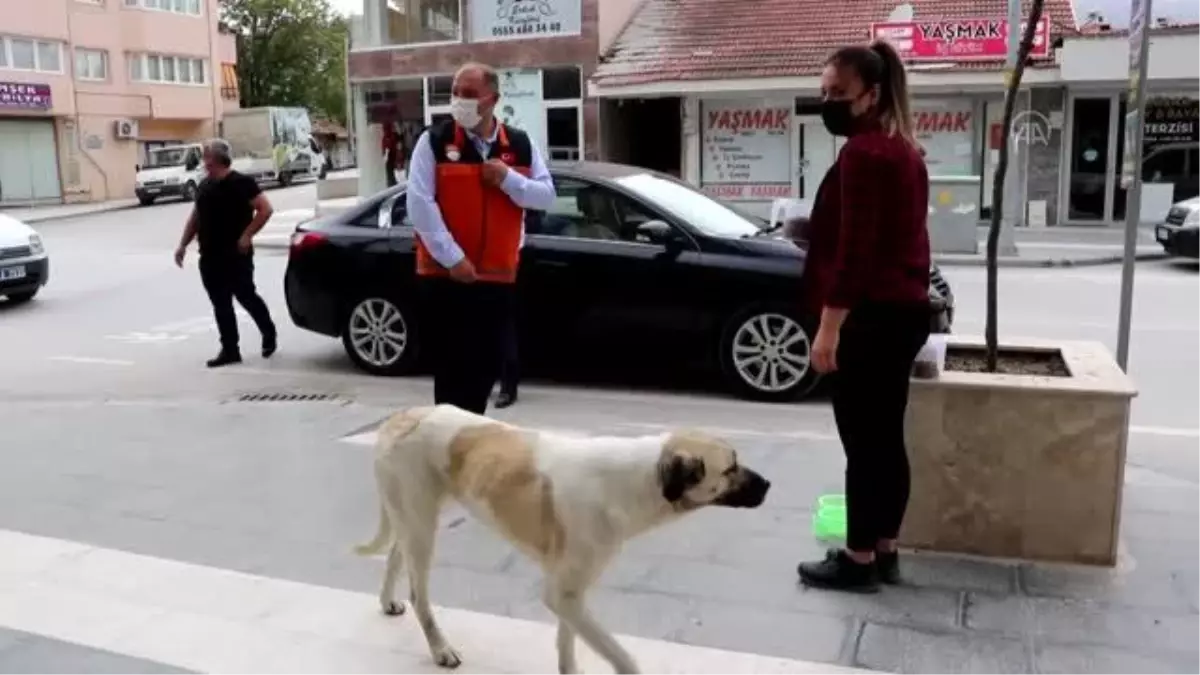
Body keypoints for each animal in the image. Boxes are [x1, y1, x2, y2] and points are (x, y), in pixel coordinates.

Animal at [355, 401, 768, 667]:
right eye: (730, 468)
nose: (769, 485)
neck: (641, 481)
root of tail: (403, 416)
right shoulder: (562, 594)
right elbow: (622, 657)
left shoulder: (570, 594)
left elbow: (567, 645)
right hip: (421, 523)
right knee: (418, 590)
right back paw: (440, 648)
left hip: (416, 517)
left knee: (395, 553)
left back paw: (387, 601)